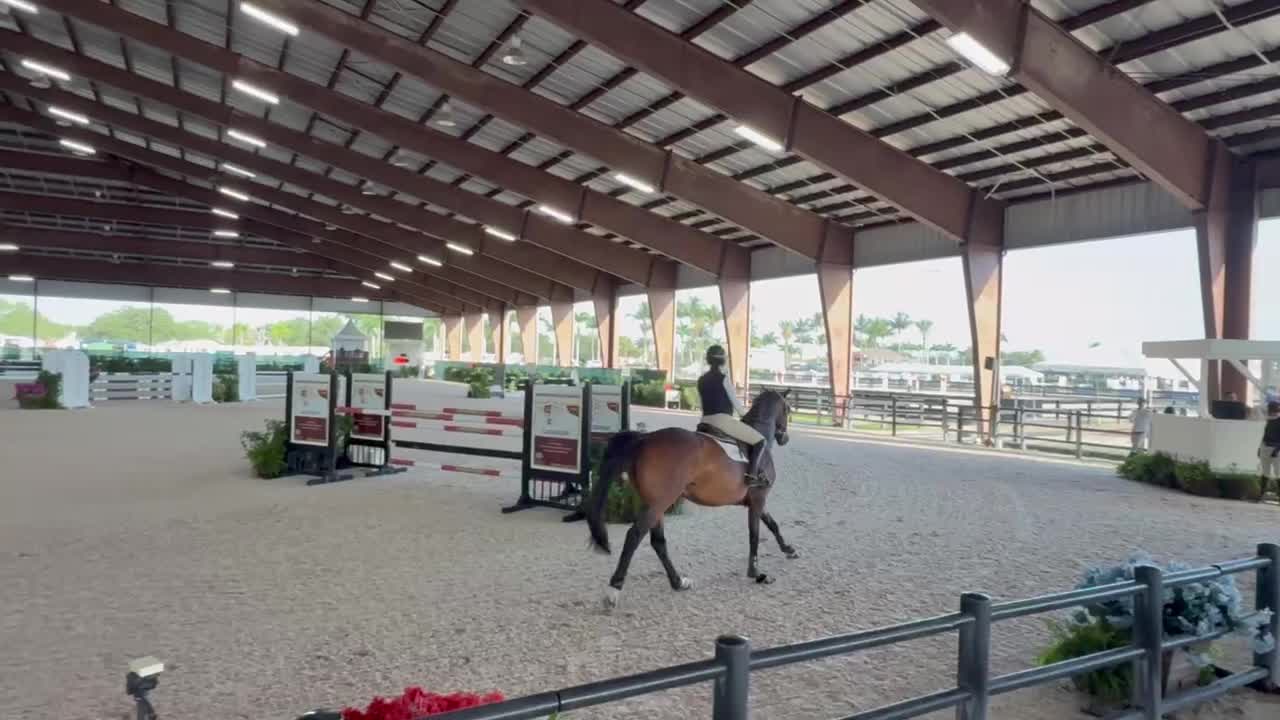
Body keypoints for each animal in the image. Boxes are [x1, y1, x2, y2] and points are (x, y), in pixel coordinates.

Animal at [585, 389, 797, 608]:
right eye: (788, 408)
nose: (784, 438)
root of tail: (644, 439)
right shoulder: (758, 499)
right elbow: (754, 535)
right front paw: (757, 574)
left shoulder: (755, 501)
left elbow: (773, 524)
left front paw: (789, 550)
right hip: (660, 503)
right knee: (634, 536)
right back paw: (614, 590)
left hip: (655, 503)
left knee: (658, 541)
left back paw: (678, 582)